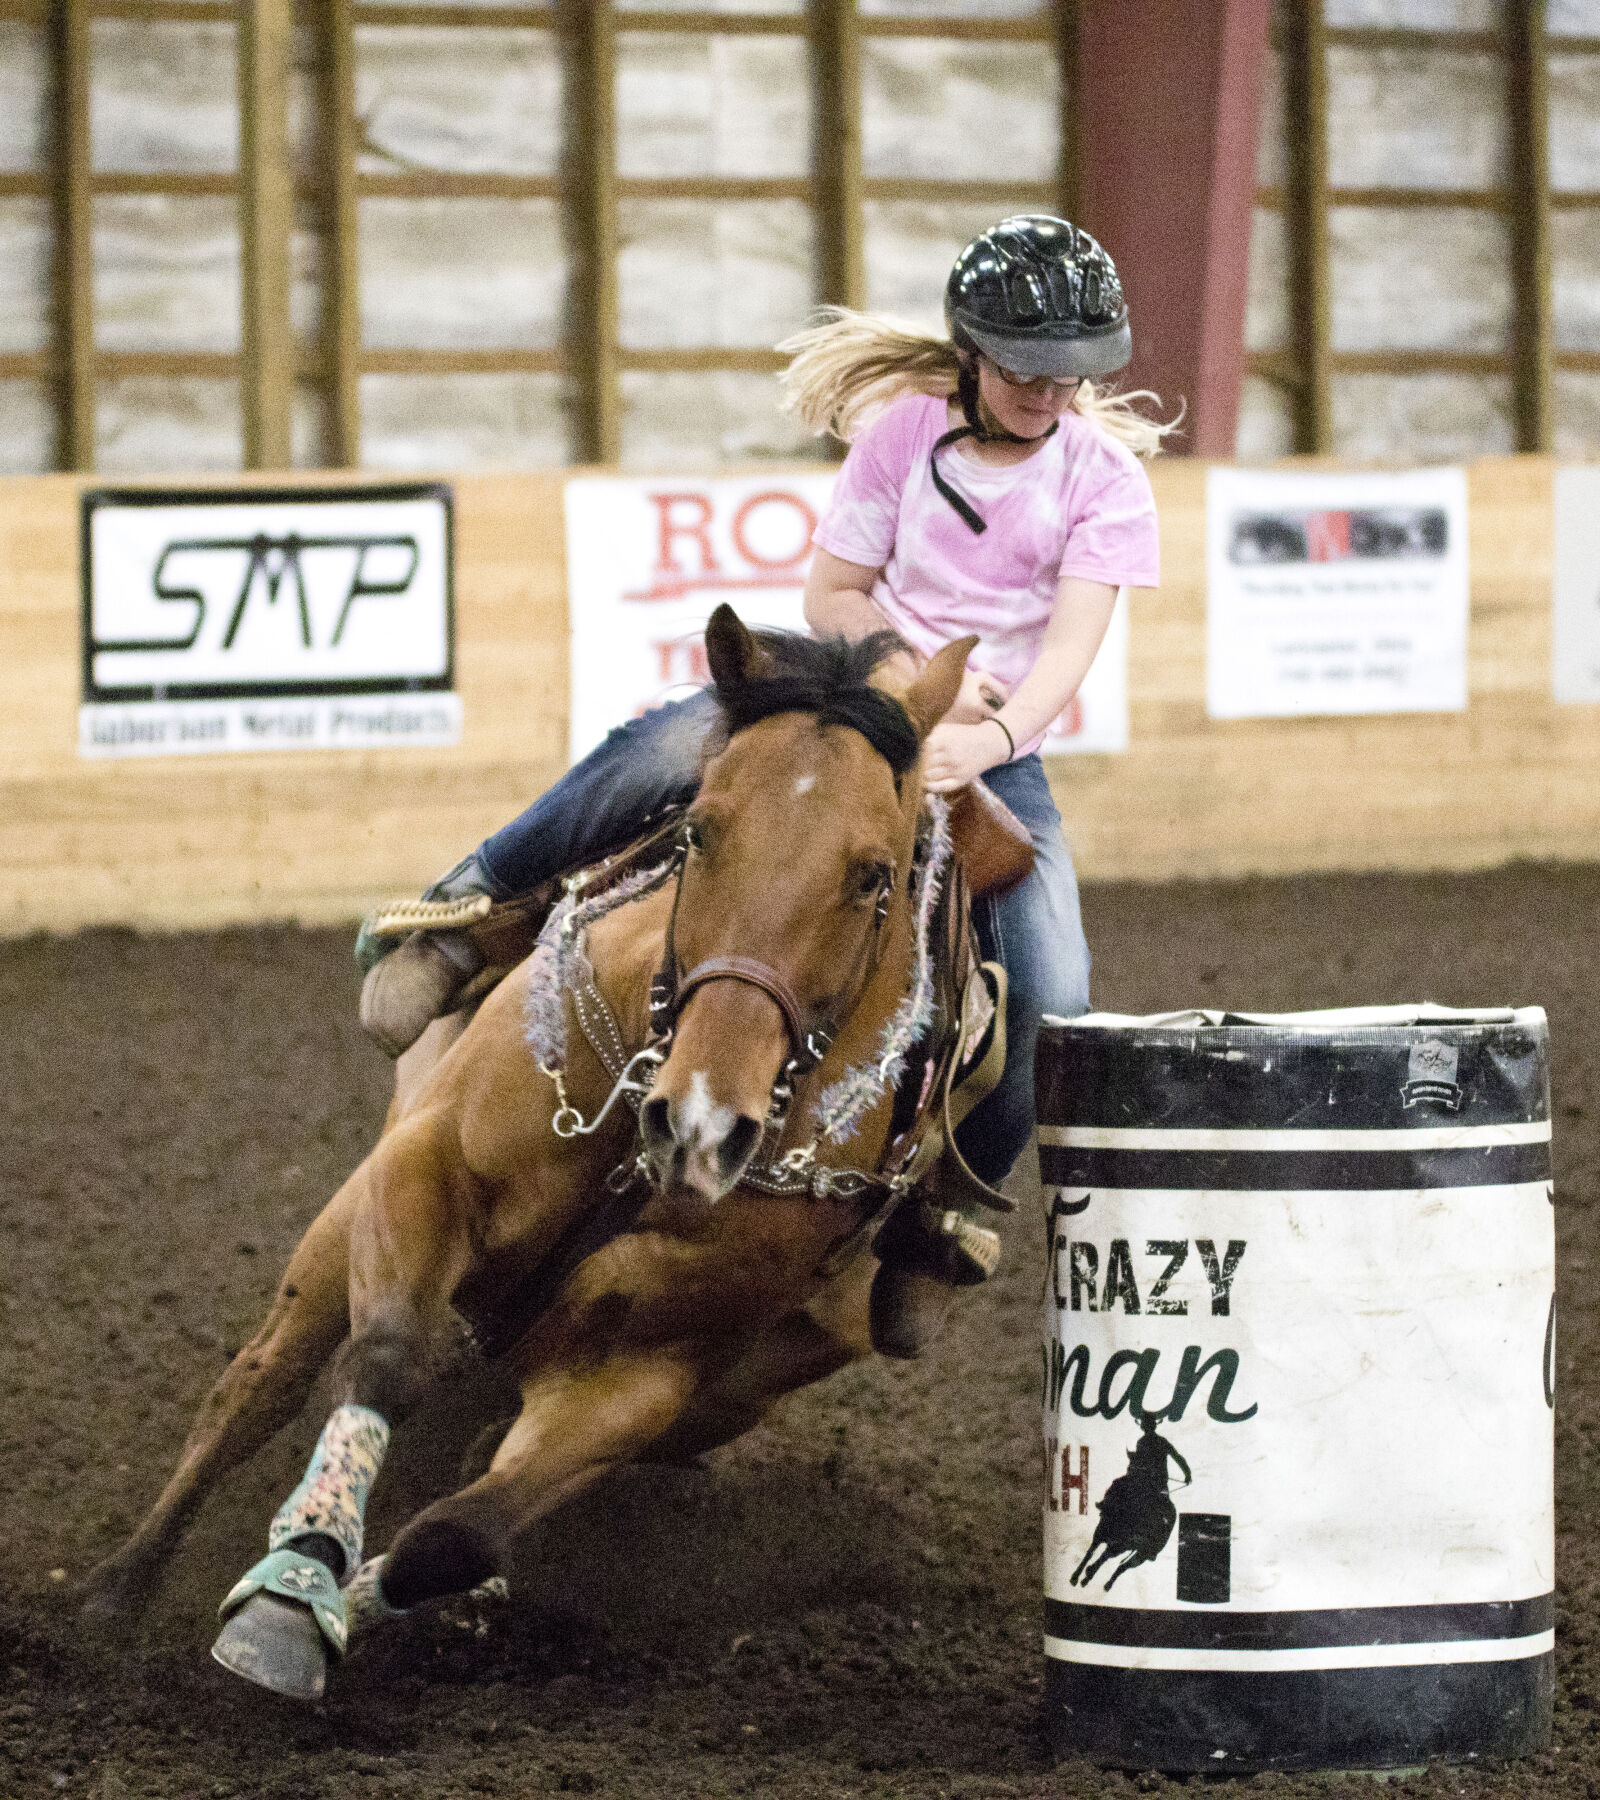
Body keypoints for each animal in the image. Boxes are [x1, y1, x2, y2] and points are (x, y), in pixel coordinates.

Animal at [80, 605, 983, 1702]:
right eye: (699, 830)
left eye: (872, 877)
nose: (700, 1121)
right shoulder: (425, 1168)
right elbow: (383, 1360)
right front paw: (292, 1590)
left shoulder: (648, 1378)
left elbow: (455, 1538)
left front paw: (355, 1603)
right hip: (347, 1216)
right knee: (256, 1385)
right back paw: (116, 1594)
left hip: (740, 1390)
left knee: (473, 1458)